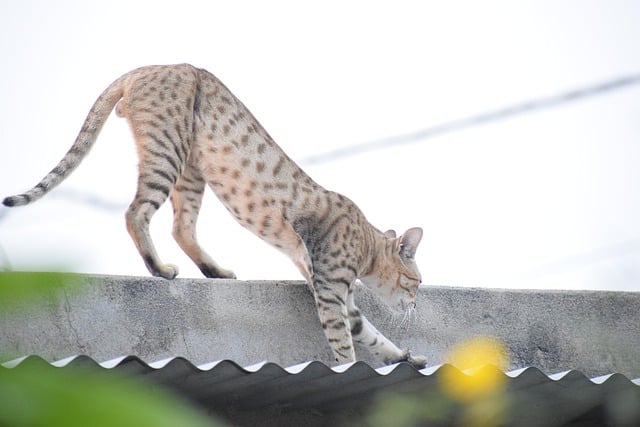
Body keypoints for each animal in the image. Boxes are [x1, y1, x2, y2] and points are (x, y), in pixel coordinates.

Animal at [3, 63, 430, 368]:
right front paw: (349, 364)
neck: (366, 246)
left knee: (181, 227)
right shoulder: (328, 286)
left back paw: (215, 270)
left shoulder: (332, 287)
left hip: (190, 171)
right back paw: (160, 268)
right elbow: (345, 340)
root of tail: (145, 67)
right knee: (135, 212)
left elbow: (369, 332)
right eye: (417, 282)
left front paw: (404, 355)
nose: (414, 304)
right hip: (168, 151)